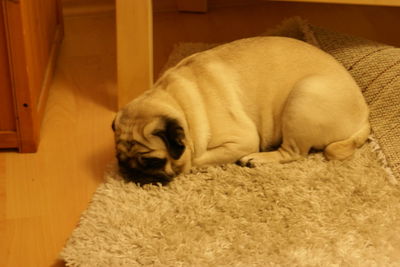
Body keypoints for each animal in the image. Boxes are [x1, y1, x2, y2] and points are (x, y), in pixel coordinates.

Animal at [111, 36, 368, 185]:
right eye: (120, 160)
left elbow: (196, 159)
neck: (178, 102)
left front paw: (192, 165)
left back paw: (258, 159)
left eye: (153, 161)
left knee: (293, 152)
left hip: (303, 97)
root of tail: (364, 115)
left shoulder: (241, 140)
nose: (132, 173)